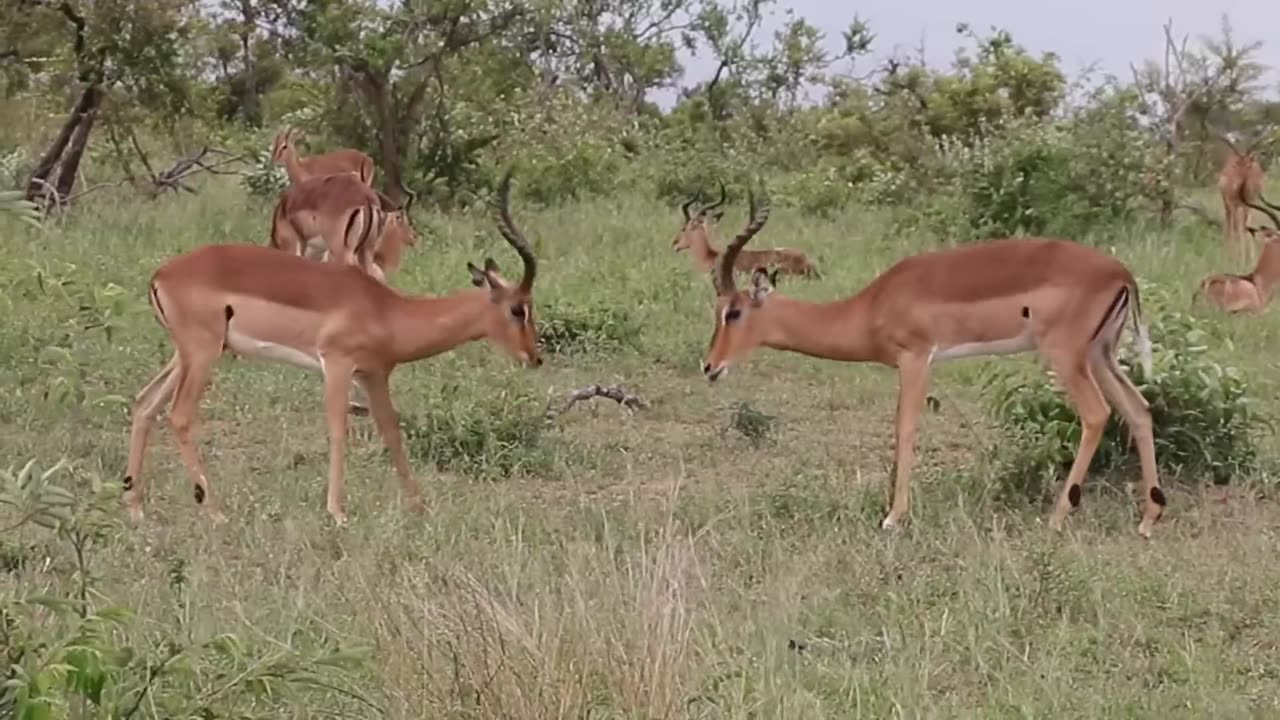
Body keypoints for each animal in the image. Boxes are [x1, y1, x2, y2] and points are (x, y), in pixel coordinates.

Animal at [123, 169, 540, 526]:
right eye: (518, 308)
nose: (534, 356)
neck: (387, 310)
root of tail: (160, 275)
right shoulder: (337, 365)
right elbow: (339, 429)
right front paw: (338, 512)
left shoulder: (374, 375)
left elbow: (391, 431)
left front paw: (419, 507)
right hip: (203, 353)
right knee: (179, 415)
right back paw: (215, 512)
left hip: (188, 355)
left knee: (145, 403)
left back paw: (136, 508)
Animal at [699, 185, 1166, 538]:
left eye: (733, 312)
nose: (709, 366)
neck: (872, 306)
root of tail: (1122, 273)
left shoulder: (916, 359)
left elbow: (905, 430)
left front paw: (892, 518)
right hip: (1100, 354)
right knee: (1139, 409)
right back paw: (1148, 519)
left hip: (1067, 357)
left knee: (1097, 414)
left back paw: (1056, 517)